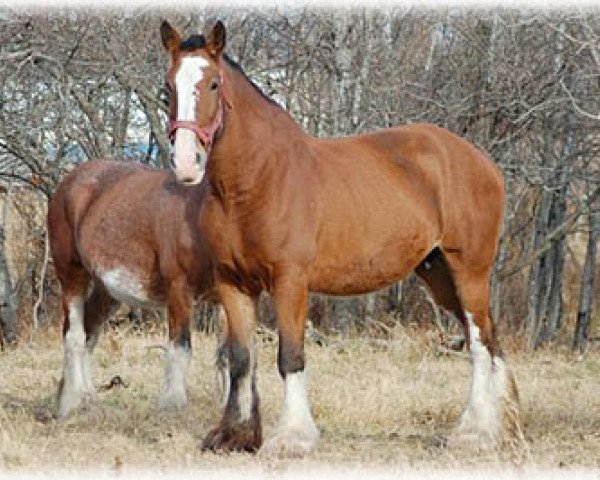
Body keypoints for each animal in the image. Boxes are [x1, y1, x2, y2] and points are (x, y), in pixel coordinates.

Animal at [47, 159, 227, 418]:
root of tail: (69, 180)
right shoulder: (179, 289)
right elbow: (180, 348)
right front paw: (173, 406)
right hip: (71, 275)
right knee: (75, 335)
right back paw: (71, 402)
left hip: (107, 291)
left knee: (90, 330)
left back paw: (86, 398)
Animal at [162, 18, 524, 454]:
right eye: (168, 86)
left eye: (214, 84)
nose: (186, 163)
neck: (258, 179)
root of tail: (484, 162)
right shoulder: (233, 283)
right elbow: (240, 359)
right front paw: (235, 435)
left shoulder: (290, 281)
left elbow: (290, 357)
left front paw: (292, 437)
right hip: (439, 275)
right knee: (485, 339)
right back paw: (495, 426)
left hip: (469, 270)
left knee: (481, 344)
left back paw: (475, 432)